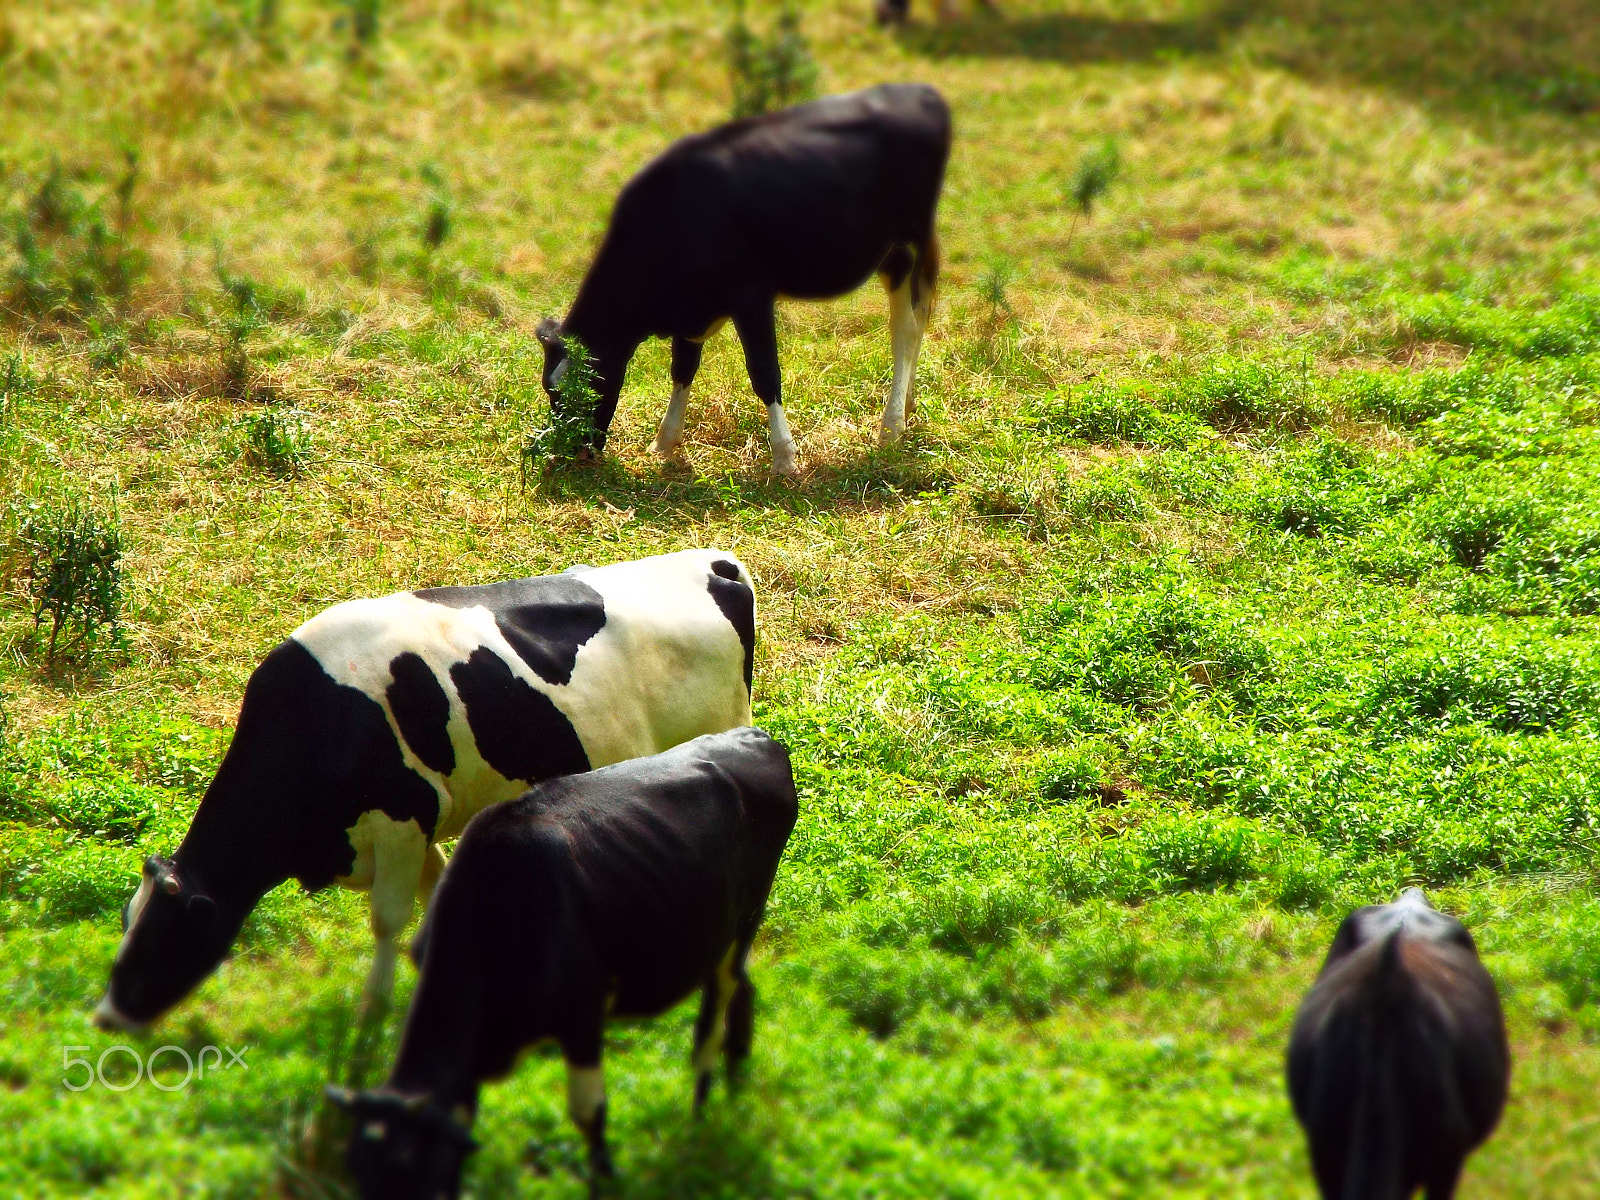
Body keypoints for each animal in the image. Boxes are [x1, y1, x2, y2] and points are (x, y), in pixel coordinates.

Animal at [93, 553, 755, 1036]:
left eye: (162, 939)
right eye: (126, 921)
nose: (106, 1017)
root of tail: (714, 563)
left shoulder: (402, 815)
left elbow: (387, 918)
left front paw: (374, 1009)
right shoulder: (418, 823)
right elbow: (438, 890)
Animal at [537, 82, 947, 476]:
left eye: (587, 385)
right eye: (550, 390)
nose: (569, 452)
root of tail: (918, 89)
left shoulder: (751, 296)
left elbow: (764, 371)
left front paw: (784, 457)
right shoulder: (692, 306)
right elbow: (682, 368)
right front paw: (665, 442)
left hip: (908, 242)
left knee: (906, 330)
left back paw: (891, 427)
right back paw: (906, 406)